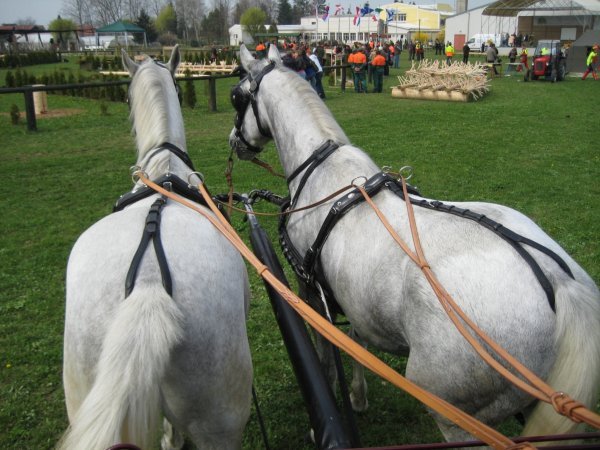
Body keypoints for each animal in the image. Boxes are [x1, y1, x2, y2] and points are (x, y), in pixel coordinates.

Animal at [226, 44, 600, 442]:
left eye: (237, 95)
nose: (234, 141)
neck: (319, 169)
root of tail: (557, 282)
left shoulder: (309, 289)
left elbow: (326, 353)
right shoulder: (351, 294)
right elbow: (356, 339)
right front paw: (358, 395)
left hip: (457, 416)